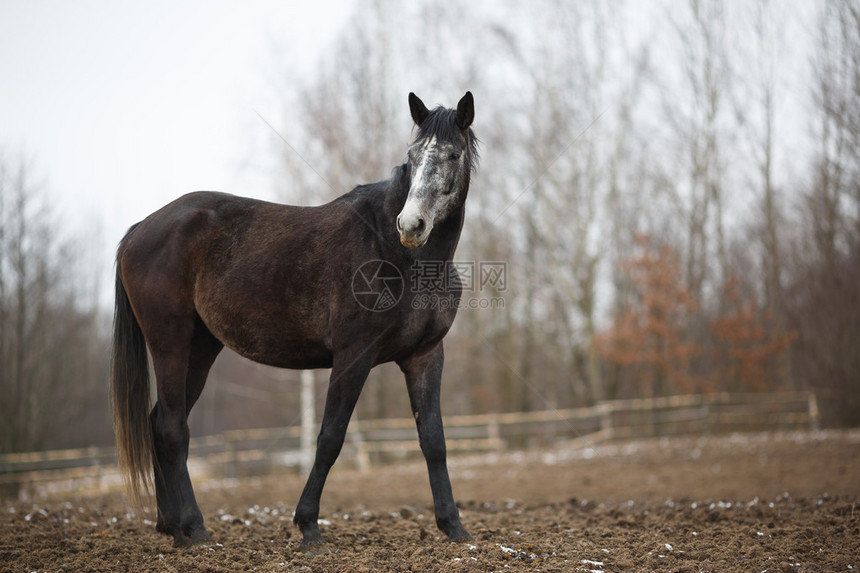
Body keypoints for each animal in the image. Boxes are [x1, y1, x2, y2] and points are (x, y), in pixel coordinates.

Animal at [109, 91, 478, 548]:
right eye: (412, 155)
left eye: (452, 154)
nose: (412, 225)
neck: (403, 255)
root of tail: (141, 229)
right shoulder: (354, 355)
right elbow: (330, 438)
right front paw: (308, 526)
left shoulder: (425, 357)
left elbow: (434, 440)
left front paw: (454, 526)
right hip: (170, 344)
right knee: (173, 430)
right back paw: (194, 528)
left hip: (201, 349)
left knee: (159, 422)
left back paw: (171, 527)